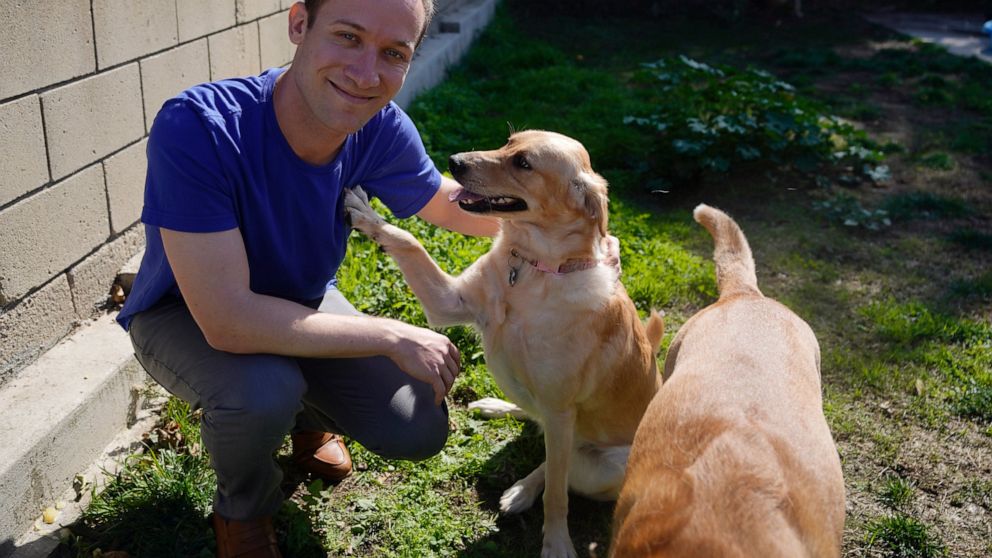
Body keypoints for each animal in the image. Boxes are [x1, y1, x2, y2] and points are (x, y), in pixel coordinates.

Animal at [344, 130, 664, 558]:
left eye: (523, 163)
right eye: (507, 142)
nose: (454, 161)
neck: (531, 269)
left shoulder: (561, 409)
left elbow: (557, 495)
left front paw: (557, 542)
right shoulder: (448, 302)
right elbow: (408, 239)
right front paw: (367, 215)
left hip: (600, 464)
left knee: (561, 466)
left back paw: (523, 490)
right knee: (537, 425)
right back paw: (498, 413)